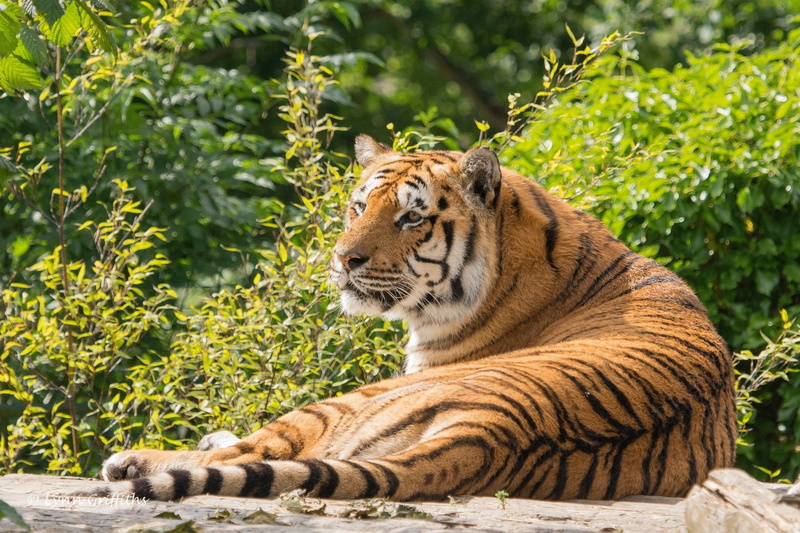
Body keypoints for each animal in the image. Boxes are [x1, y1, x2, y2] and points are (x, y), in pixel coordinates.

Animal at [93, 134, 737, 502]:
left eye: (411, 218)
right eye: (358, 206)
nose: (342, 259)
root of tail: (492, 432)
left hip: (349, 401)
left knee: (248, 455)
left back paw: (130, 461)